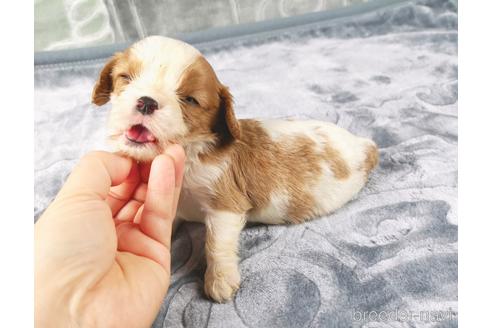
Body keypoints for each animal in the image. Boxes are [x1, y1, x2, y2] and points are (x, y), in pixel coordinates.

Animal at [91, 36, 376, 302]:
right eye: (126, 78)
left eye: (189, 100)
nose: (146, 102)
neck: (190, 152)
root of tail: (365, 146)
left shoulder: (224, 204)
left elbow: (216, 242)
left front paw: (219, 280)